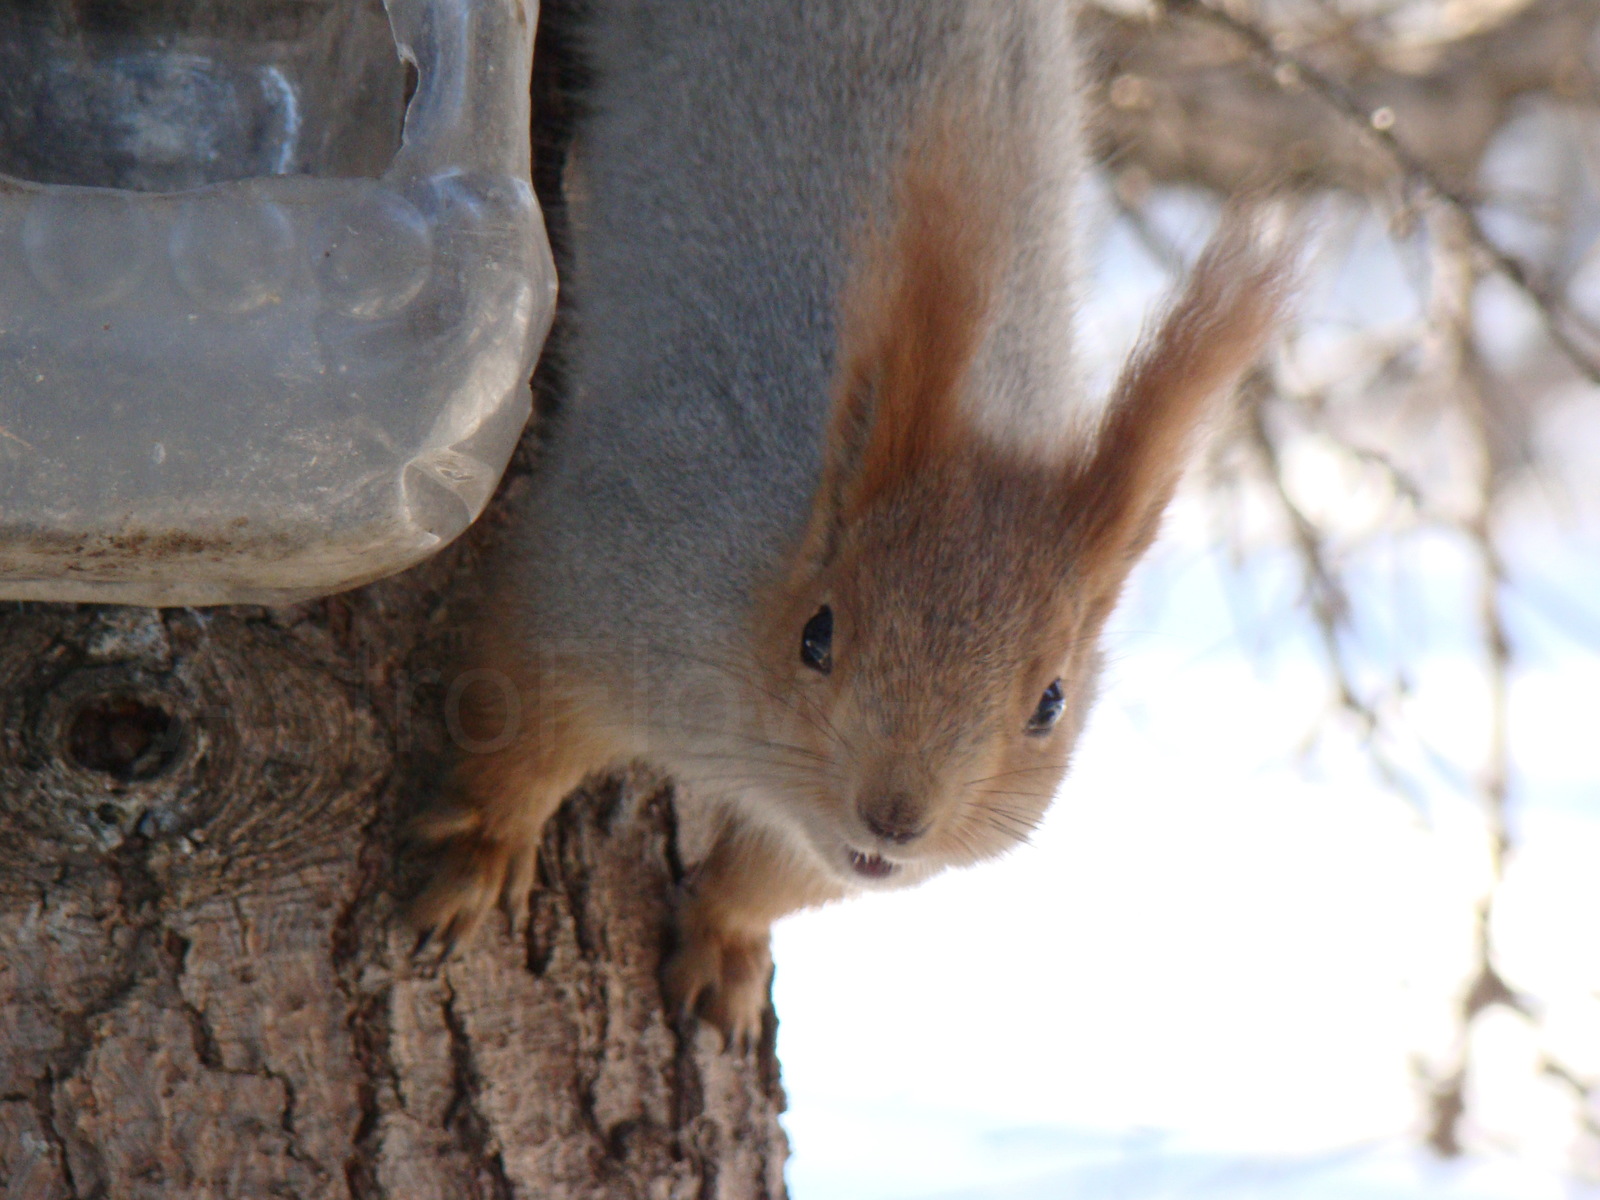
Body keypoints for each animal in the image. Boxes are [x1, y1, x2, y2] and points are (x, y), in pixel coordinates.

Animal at [409, 0, 1286, 1043]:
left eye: (1051, 703)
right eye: (817, 636)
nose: (896, 817)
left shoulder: (833, 841)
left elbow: (779, 878)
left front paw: (727, 940)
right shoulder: (610, 563)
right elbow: (518, 723)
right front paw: (480, 848)